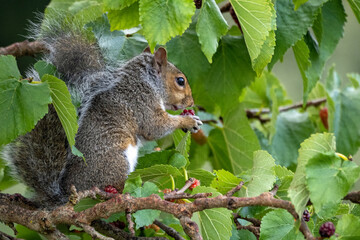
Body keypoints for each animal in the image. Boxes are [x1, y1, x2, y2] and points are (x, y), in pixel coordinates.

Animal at [1, 17, 201, 208]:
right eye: (180, 81)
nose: (191, 102)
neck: (146, 81)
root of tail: (65, 195)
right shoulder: (142, 103)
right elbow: (156, 127)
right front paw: (188, 121)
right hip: (117, 161)